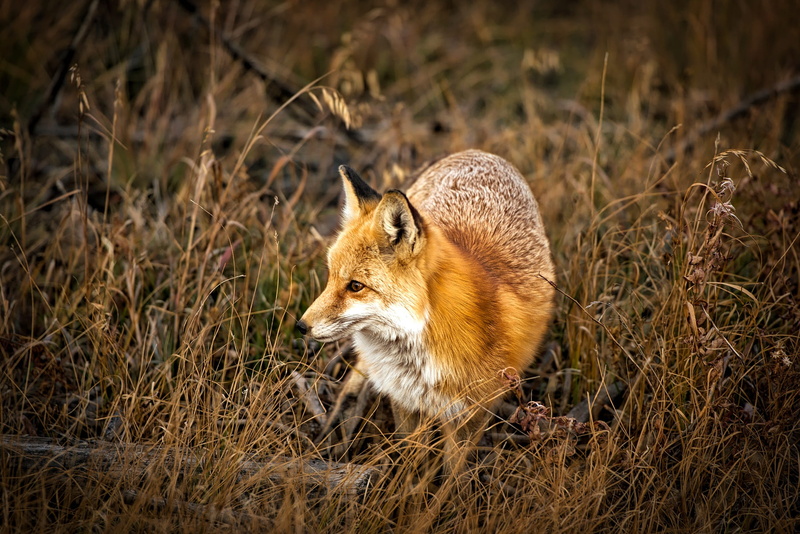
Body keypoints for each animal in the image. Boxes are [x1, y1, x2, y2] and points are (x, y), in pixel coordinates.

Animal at [297, 149, 555, 470]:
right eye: (331, 276)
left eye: (356, 286)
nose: (301, 326)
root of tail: (479, 153)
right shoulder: (404, 399)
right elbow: (410, 458)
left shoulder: (472, 411)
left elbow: (453, 474)